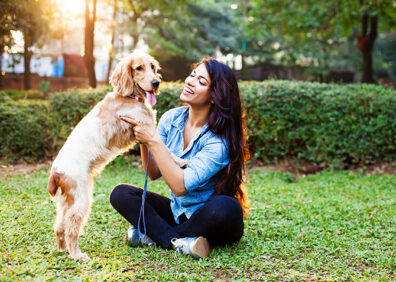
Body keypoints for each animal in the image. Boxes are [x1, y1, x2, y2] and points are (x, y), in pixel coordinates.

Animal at [47, 50, 186, 260]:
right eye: (139, 68)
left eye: (153, 67)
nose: (156, 83)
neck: (129, 97)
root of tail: (55, 172)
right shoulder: (145, 127)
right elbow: (167, 150)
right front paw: (180, 161)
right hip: (81, 200)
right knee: (71, 227)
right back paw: (77, 255)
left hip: (66, 202)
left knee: (59, 226)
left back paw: (63, 250)